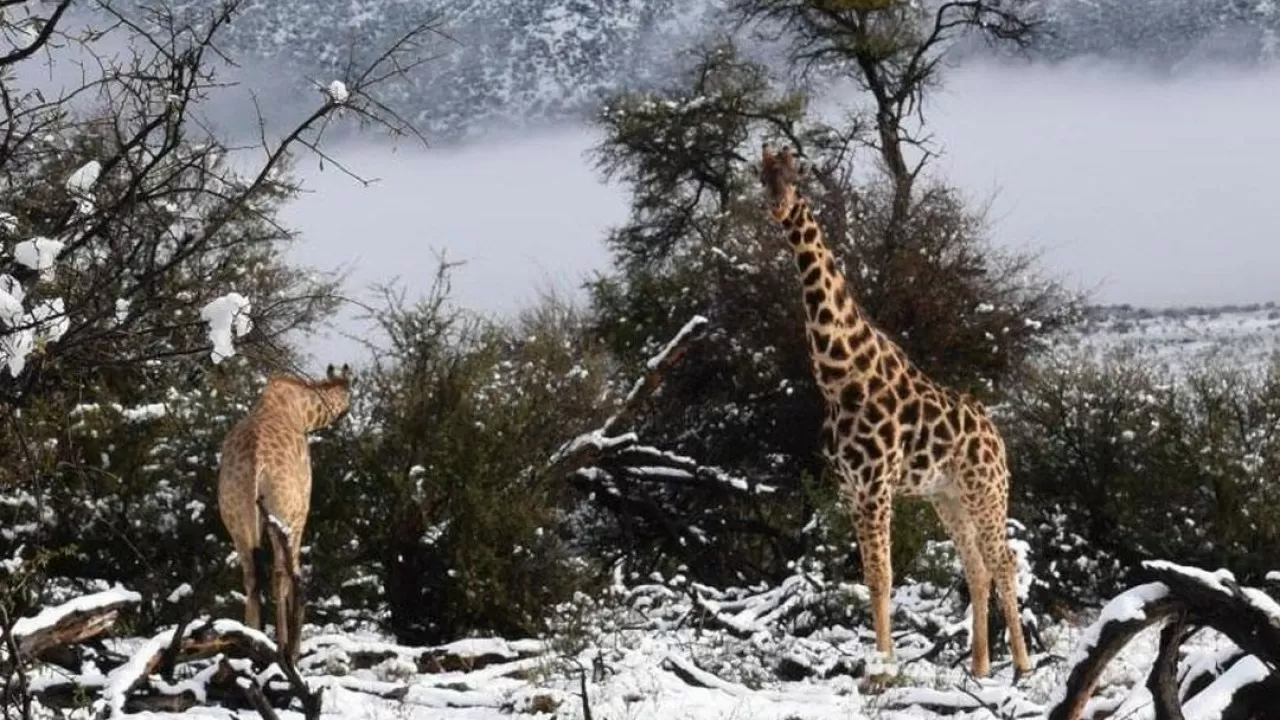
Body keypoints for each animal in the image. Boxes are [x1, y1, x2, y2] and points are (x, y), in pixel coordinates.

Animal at [217, 361, 353, 661]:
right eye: (349, 395)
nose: (345, 414)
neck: (301, 411)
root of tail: (255, 462)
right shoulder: (302, 510)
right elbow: (295, 572)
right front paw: (296, 644)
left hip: (235, 517)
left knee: (251, 577)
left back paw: (251, 641)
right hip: (281, 513)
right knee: (278, 575)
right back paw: (284, 648)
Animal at [752, 142, 1034, 676]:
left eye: (796, 175)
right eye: (762, 177)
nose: (778, 208)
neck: (840, 373)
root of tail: (998, 437)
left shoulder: (876, 483)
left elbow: (883, 576)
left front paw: (883, 668)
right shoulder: (851, 488)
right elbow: (869, 576)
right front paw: (879, 662)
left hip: (987, 490)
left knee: (1004, 560)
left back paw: (1024, 666)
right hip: (947, 496)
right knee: (976, 567)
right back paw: (981, 668)